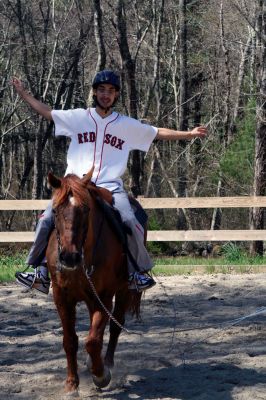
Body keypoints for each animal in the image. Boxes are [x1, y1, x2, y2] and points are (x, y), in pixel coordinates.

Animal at [45, 169, 141, 394]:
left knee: (115, 326)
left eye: (86, 209)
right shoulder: (61, 297)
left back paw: (107, 363)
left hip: (123, 291)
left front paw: (101, 375)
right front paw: (72, 383)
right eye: (55, 210)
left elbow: (93, 341)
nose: (69, 257)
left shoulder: (103, 297)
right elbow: (70, 340)